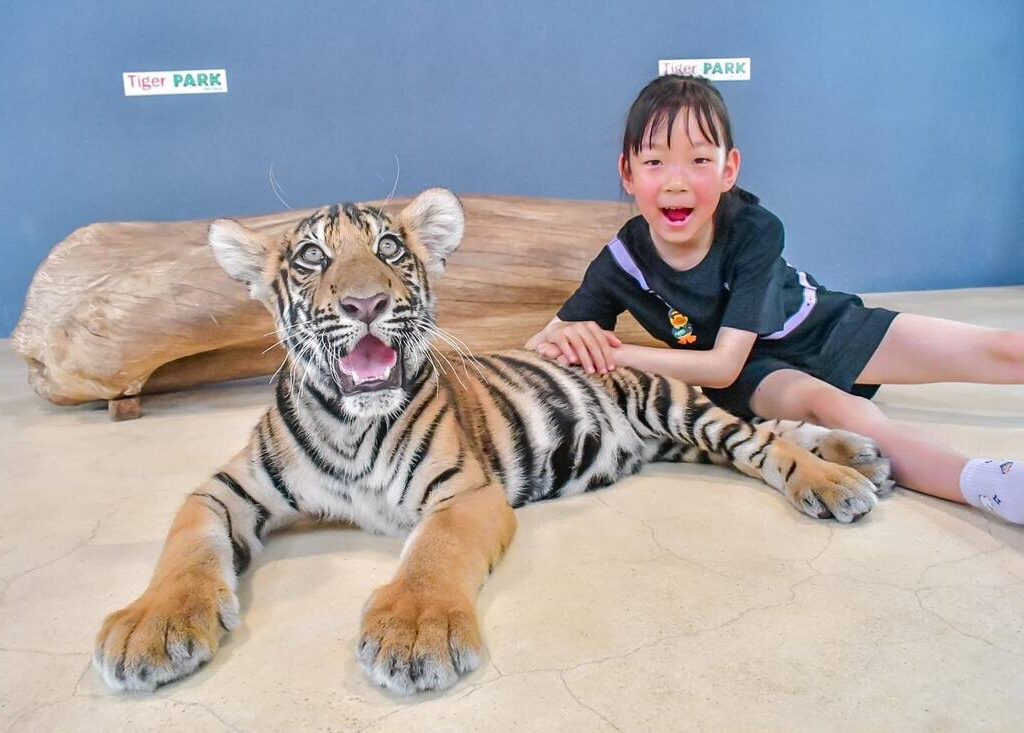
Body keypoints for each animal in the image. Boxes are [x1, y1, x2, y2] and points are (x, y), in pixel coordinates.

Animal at [92, 188, 893, 695]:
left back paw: (837, 482)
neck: (352, 425)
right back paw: (862, 456)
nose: (366, 303)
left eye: (390, 248)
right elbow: (186, 548)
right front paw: (150, 629)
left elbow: (432, 555)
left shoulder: (462, 492)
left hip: (676, 408)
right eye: (313, 259)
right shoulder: (225, 488)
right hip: (677, 435)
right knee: (772, 429)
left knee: (762, 445)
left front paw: (414, 633)